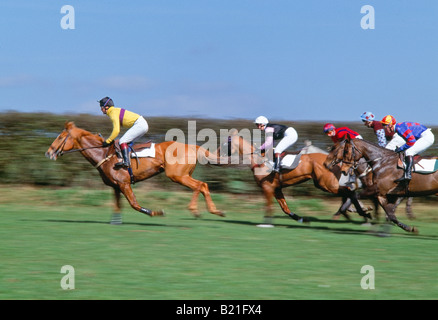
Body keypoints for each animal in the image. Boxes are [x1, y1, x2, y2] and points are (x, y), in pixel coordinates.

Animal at [46, 120, 228, 222]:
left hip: (177, 176)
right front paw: (115, 221)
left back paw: (196, 210)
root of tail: (192, 146)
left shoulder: (124, 183)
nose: (48, 152)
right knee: (203, 185)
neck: (104, 154)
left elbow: (134, 204)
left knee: (199, 185)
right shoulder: (116, 186)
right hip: (183, 175)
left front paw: (156, 212)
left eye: (60, 137)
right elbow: (117, 206)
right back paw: (215, 211)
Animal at [226, 131, 372, 224]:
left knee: (349, 192)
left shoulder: (267, 188)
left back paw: (363, 213)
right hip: (323, 183)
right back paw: (362, 213)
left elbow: (269, 206)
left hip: (326, 184)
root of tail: (332, 161)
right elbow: (284, 208)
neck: (259, 160)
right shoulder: (276, 188)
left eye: (226, 143)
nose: (221, 154)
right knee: (350, 193)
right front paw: (301, 219)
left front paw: (266, 223)